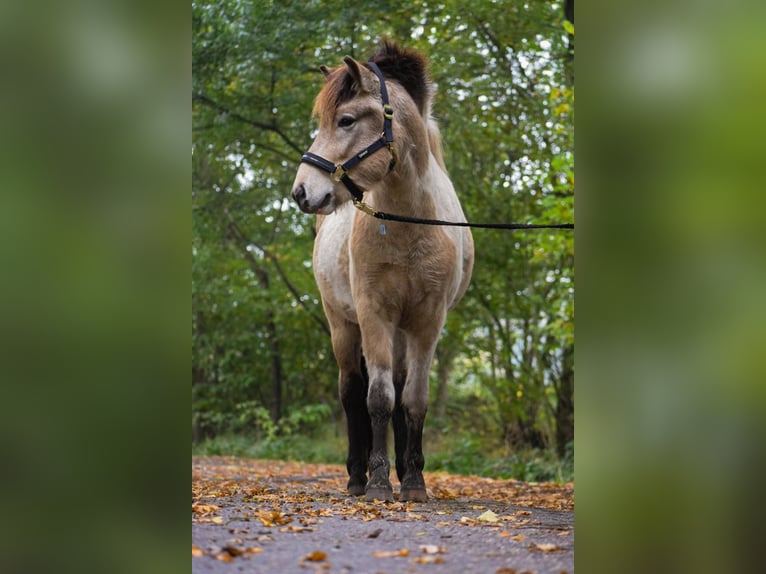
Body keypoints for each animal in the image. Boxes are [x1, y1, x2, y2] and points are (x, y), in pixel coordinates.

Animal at [292, 41, 474, 504]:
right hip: (343, 325)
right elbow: (376, 399)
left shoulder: (427, 321)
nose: (301, 192)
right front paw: (377, 482)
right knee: (352, 393)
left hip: (400, 333)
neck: (410, 222)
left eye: (346, 120)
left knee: (399, 389)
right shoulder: (373, 313)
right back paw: (356, 476)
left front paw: (413, 481)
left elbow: (413, 400)